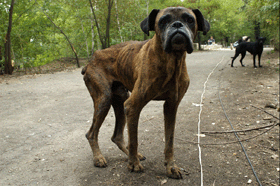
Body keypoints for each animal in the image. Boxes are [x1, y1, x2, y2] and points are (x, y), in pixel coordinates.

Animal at [82, 6, 209, 179]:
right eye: (163, 21)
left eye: (189, 19)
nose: (177, 25)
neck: (171, 61)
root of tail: (91, 60)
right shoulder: (133, 106)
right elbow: (134, 139)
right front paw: (134, 164)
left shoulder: (171, 106)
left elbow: (169, 140)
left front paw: (171, 167)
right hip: (104, 100)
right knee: (91, 133)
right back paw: (99, 158)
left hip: (120, 100)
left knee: (117, 136)